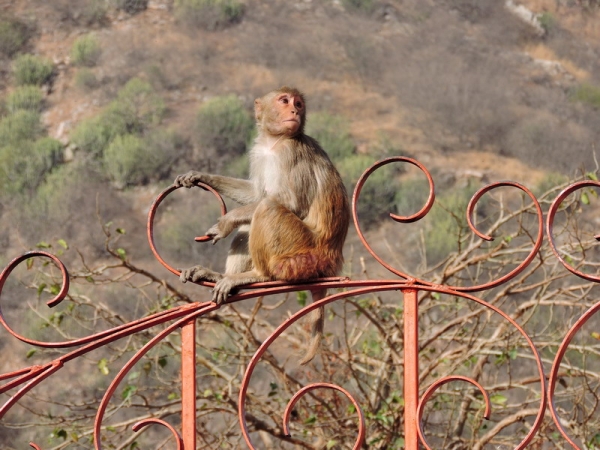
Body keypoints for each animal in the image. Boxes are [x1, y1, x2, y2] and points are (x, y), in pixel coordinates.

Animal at [173, 86, 350, 364]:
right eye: (285, 101)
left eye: (298, 104)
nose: (294, 111)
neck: (274, 142)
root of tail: (331, 259)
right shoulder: (259, 152)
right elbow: (255, 194)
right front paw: (200, 176)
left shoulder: (291, 152)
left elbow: (288, 202)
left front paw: (226, 221)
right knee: (250, 223)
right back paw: (221, 276)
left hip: (303, 253)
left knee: (268, 209)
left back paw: (258, 275)